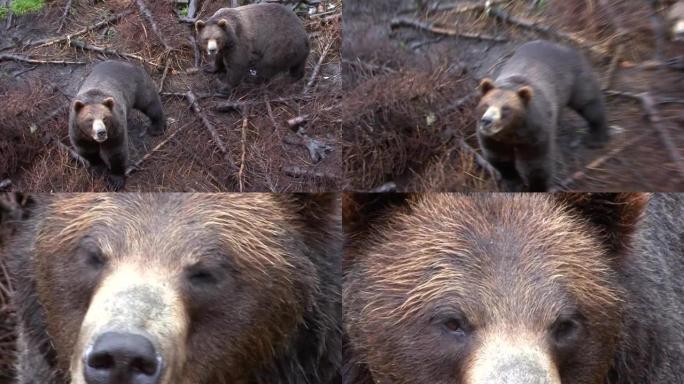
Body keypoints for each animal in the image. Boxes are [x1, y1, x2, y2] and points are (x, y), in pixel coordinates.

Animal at [69, 60, 166, 190]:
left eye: (105, 118)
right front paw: (98, 170)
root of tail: (125, 62)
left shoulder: (115, 131)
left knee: (150, 103)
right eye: (89, 120)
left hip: (138, 86)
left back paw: (157, 127)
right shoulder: (78, 133)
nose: (101, 132)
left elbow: (116, 153)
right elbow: (87, 151)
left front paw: (115, 180)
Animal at [476, 39, 608, 192]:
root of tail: (560, 45)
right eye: (486, 105)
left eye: (506, 108)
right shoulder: (493, 139)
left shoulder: (535, 134)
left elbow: (536, 165)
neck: (512, 132)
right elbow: (499, 158)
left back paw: (597, 137)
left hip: (575, 78)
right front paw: (513, 183)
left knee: (588, 102)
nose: (487, 121)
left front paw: (537, 186)